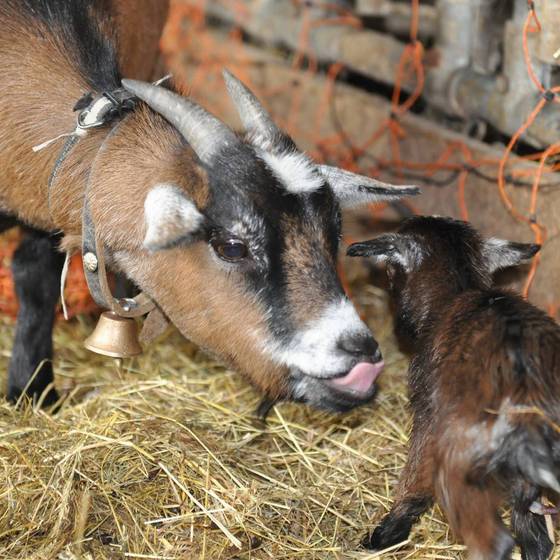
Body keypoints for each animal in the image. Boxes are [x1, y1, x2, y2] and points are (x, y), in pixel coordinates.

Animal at [348, 218, 556, 560]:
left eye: (390, 271)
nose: (400, 327)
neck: (459, 291)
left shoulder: (430, 419)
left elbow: (415, 480)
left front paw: (386, 534)